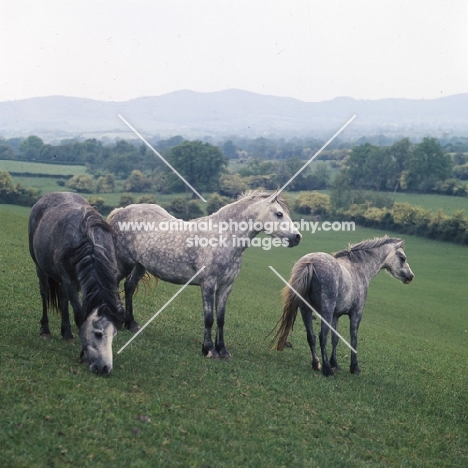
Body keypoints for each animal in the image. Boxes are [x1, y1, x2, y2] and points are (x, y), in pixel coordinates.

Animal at [29, 192, 124, 374]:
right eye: (98, 333)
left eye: (114, 334)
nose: (105, 368)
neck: (89, 242)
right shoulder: (69, 280)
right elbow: (80, 315)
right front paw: (84, 354)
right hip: (40, 268)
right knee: (44, 292)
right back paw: (45, 330)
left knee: (63, 298)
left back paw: (66, 332)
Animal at [108, 190, 302, 358]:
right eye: (279, 214)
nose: (297, 237)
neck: (223, 237)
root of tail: (121, 211)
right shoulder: (208, 285)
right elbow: (209, 318)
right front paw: (209, 350)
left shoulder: (225, 287)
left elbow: (221, 319)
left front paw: (222, 350)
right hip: (124, 262)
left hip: (140, 265)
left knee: (129, 287)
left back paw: (131, 324)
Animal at [272, 238, 414, 376]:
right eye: (403, 258)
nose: (411, 276)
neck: (358, 268)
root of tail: (310, 263)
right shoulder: (356, 314)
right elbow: (353, 340)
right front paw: (354, 367)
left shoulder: (336, 316)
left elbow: (335, 339)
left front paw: (335, 363)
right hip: (326, 311)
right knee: (322, 337)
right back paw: (326, 369)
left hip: (306, 310)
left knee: (311, 337)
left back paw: (317, 364)